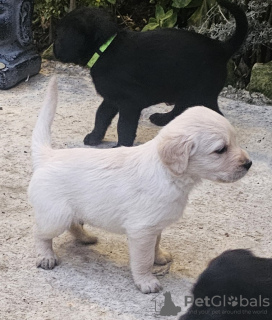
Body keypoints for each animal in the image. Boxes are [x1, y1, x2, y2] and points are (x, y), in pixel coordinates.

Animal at [28, 77, 252, 292]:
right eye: (221, 150)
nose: (249, 164)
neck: (168, 173)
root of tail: (49, 155)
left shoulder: (155, 225)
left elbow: (156, 244)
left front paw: (159, 257)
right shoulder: (141, 230)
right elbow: (143, 259)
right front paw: (146, 281)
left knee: (74, 224)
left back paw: (85, 238)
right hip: (56, 216)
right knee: (40, 233)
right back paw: (46, 256)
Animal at [54, 0, 248, 146]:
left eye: (61, 34)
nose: (53, 48)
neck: (105, 48)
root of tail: (221, 47)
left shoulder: (129, 102)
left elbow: (123, 126)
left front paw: (121, 146)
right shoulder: (111, 98)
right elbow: (101, 116)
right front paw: (94, 137)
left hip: (202, 94)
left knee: (215, 115)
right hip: (185, 90)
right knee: (181, 108)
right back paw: (164, 119)